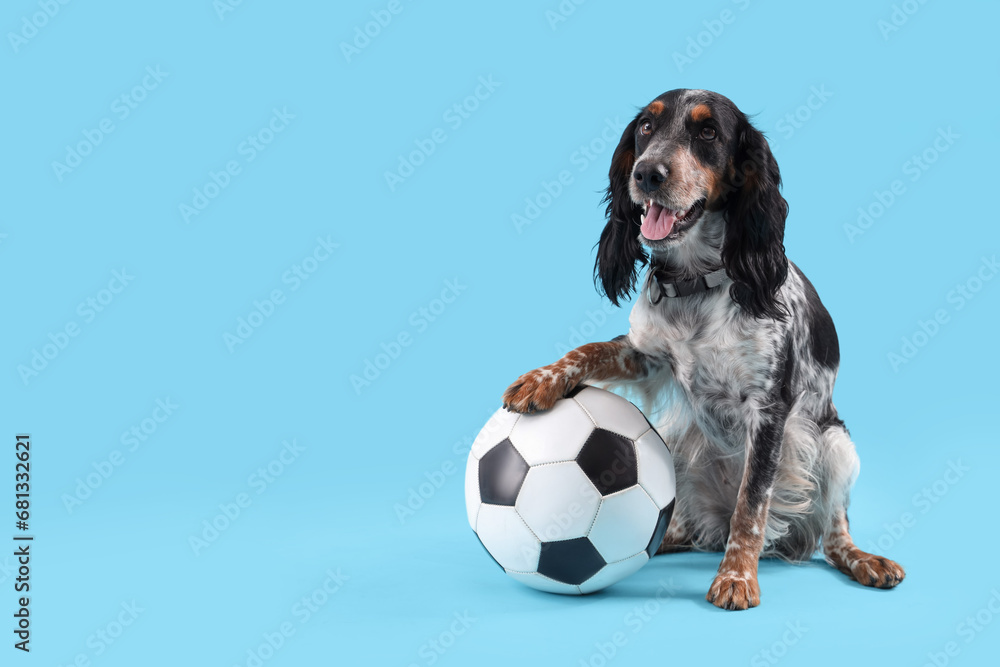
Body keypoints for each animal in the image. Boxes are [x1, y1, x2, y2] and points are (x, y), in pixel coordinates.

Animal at [504, 88, 904, 612]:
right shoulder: (645, 356)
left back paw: (863, 560)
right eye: (646, 128)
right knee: (687, 530)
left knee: (831, 534)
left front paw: (737, 576)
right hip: (680, 445)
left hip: (835, 444)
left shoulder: (770, 409)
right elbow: (587, 349)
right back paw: (669, 540)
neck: (697, 283)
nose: (646, 173)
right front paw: (540, 380)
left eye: (708, 132)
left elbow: (752, 506)